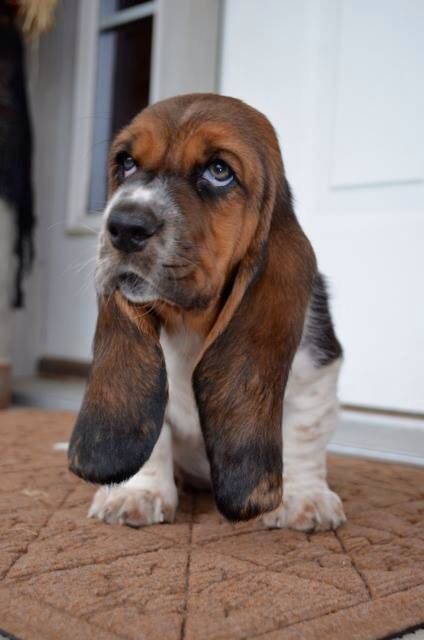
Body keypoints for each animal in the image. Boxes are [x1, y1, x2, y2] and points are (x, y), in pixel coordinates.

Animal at [69, 92, 346, 532]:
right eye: (125, 162)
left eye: (219, 171)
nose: (124, 226)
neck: (190, 323)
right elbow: (154, 432)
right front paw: (138, 493)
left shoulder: (316, 372)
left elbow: (303, 431)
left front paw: (305, 498)